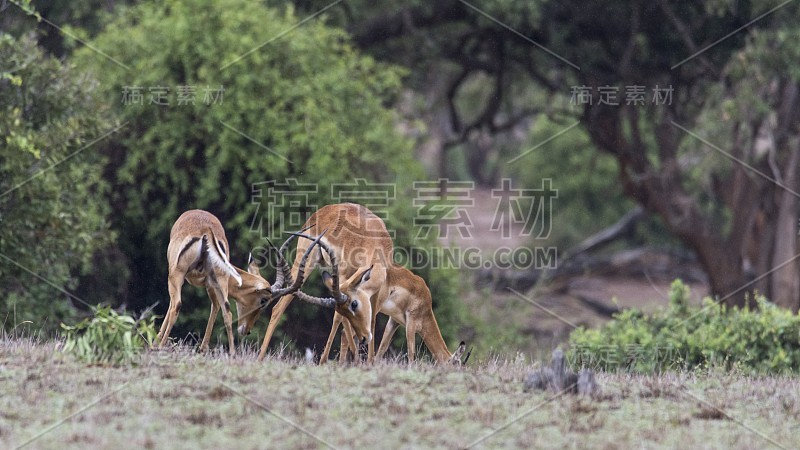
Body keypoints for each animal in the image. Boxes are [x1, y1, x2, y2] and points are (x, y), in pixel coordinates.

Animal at [160, 209, 328, 354]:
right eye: (263, 301)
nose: (247, 330)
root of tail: (207, 231)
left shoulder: (178, 276)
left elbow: (171, 306)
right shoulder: (211, 284)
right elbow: (216, 308)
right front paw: (203, 349)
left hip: (177, 274)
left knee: (177, 305)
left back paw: (159, 347)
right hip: (216, 279)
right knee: (227, 311)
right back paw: (233, 353)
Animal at [260, 202, 466, 364]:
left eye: (355, 305)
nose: (365, 338)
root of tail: (324, 210)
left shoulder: (375, 293)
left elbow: (371, 322)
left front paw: (365, 362)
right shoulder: (344, 277)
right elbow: (339, 318)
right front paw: (337, 360)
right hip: (307, 260)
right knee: (278, 308)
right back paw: (262, 357)